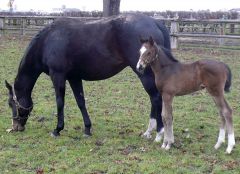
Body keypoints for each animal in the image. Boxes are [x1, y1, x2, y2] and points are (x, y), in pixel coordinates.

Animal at [5, 12, 171, 139]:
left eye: (11, 103)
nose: (15, 127)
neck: (48, 41)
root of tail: (155, 22)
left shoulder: (58, 75)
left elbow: (60, 102)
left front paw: (57, 129)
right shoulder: (74, 77)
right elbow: (80, 102)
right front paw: (87, 129)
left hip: (145, 74)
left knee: (156, 98)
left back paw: (157, 133)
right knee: (155, 99)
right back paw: (149, 132)